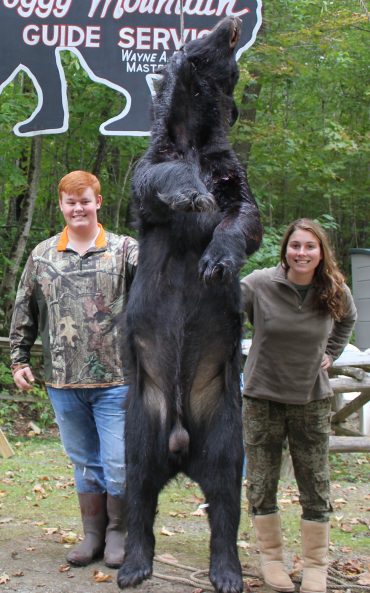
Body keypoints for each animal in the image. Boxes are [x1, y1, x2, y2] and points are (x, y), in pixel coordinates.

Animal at [118, 15, 264, 592]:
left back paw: (226, 571)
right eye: (198, 33)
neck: (193, 135)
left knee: (225, 497)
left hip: (223, 423)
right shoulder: (154, 163)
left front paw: (214, 262)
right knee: (137, 488)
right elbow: (157, 178)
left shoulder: (230, 167)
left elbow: (243, 215)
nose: (234, 17)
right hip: (142, 419)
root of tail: (181, 447)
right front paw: (192, 193)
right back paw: (134, 564)